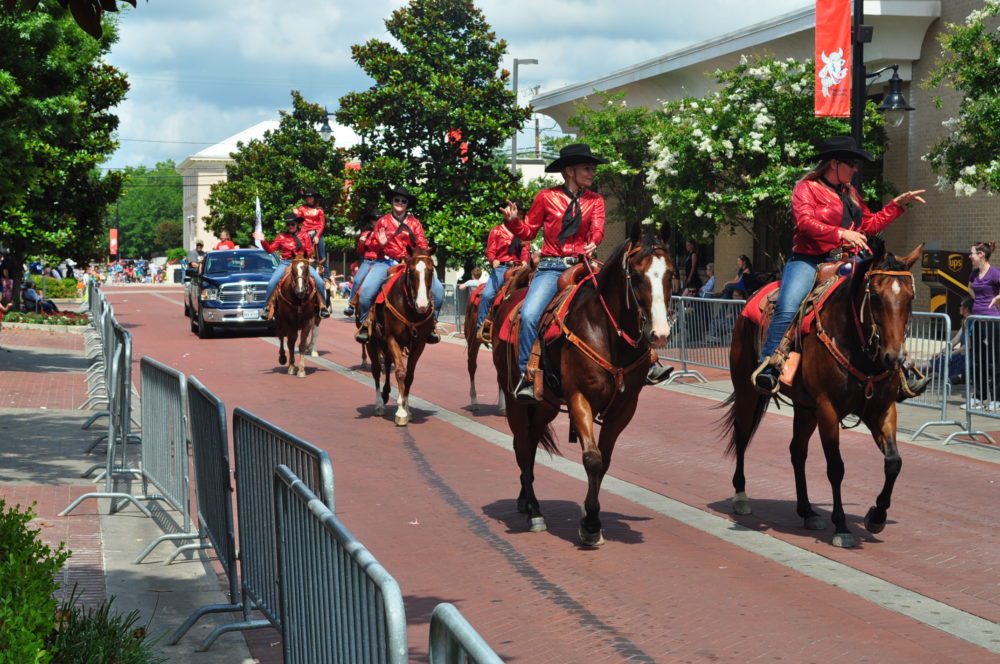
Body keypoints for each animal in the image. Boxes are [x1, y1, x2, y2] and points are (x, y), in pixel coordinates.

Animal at [364, 248, 434, 426]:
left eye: (431, 271)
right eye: (411, 271)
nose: (423, 305)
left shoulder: (419, 344)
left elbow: (409, 375)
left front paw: (406, 409)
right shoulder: (392, 339)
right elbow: (401, 373)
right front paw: (401, 412)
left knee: (388, 364)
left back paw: (386, 394)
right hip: (372, 342)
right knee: (376, 370)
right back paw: (379, 405)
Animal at [492, 223, 672, 544]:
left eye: (671, 274)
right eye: (637, 275)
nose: (660, 333)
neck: (608, 334)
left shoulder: (624, 407)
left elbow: (605, 461)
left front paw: (591, 517)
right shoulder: (579, 398)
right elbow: (593, 458)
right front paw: (590, 525)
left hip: (545, 405)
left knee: (531, 443)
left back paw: (525, 499)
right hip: (515, 401)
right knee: (522, 446)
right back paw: (534, 511)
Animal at [720, 241, 920, 548]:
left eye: (910, 298)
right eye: (875, 297)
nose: (893, 358)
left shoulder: (882, 409)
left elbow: (894, 463)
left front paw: (877, 517)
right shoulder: (828, 408)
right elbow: (836, 467)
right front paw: (842, 527)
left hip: (805, 408)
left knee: (797, 452)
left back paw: (807, 511)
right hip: (746, 391)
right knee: (742, 437)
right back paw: (741, 497)